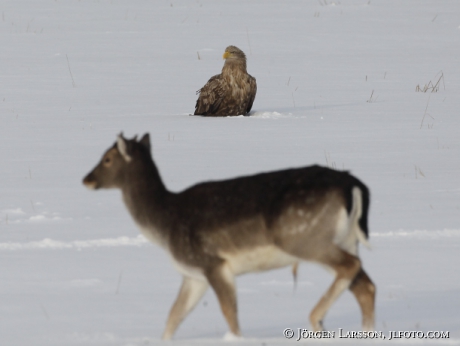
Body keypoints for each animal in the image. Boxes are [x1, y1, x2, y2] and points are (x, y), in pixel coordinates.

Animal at [82, 133, 374, 340]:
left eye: (107, 158)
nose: (86, 179)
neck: (165, 225)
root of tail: (354, 186)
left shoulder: (213, 262)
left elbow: (229, 313)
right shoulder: (193, 274)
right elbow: (173, 316)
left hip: (304, 238)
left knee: (351, 268)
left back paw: (316, 320)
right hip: (346, 239)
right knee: (365, 285)